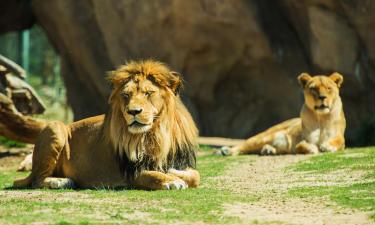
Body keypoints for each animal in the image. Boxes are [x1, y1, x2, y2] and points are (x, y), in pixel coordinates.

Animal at [12, 60, 200, 190]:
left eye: (148, 93)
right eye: (126, 95)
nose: (133, 111)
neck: (156, 133)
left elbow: (195, 176)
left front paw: (174, 172)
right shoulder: (131, 172)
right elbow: (153, 175)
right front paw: (171, 180)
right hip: (55, 127)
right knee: (36, 180)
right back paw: (60, 181)